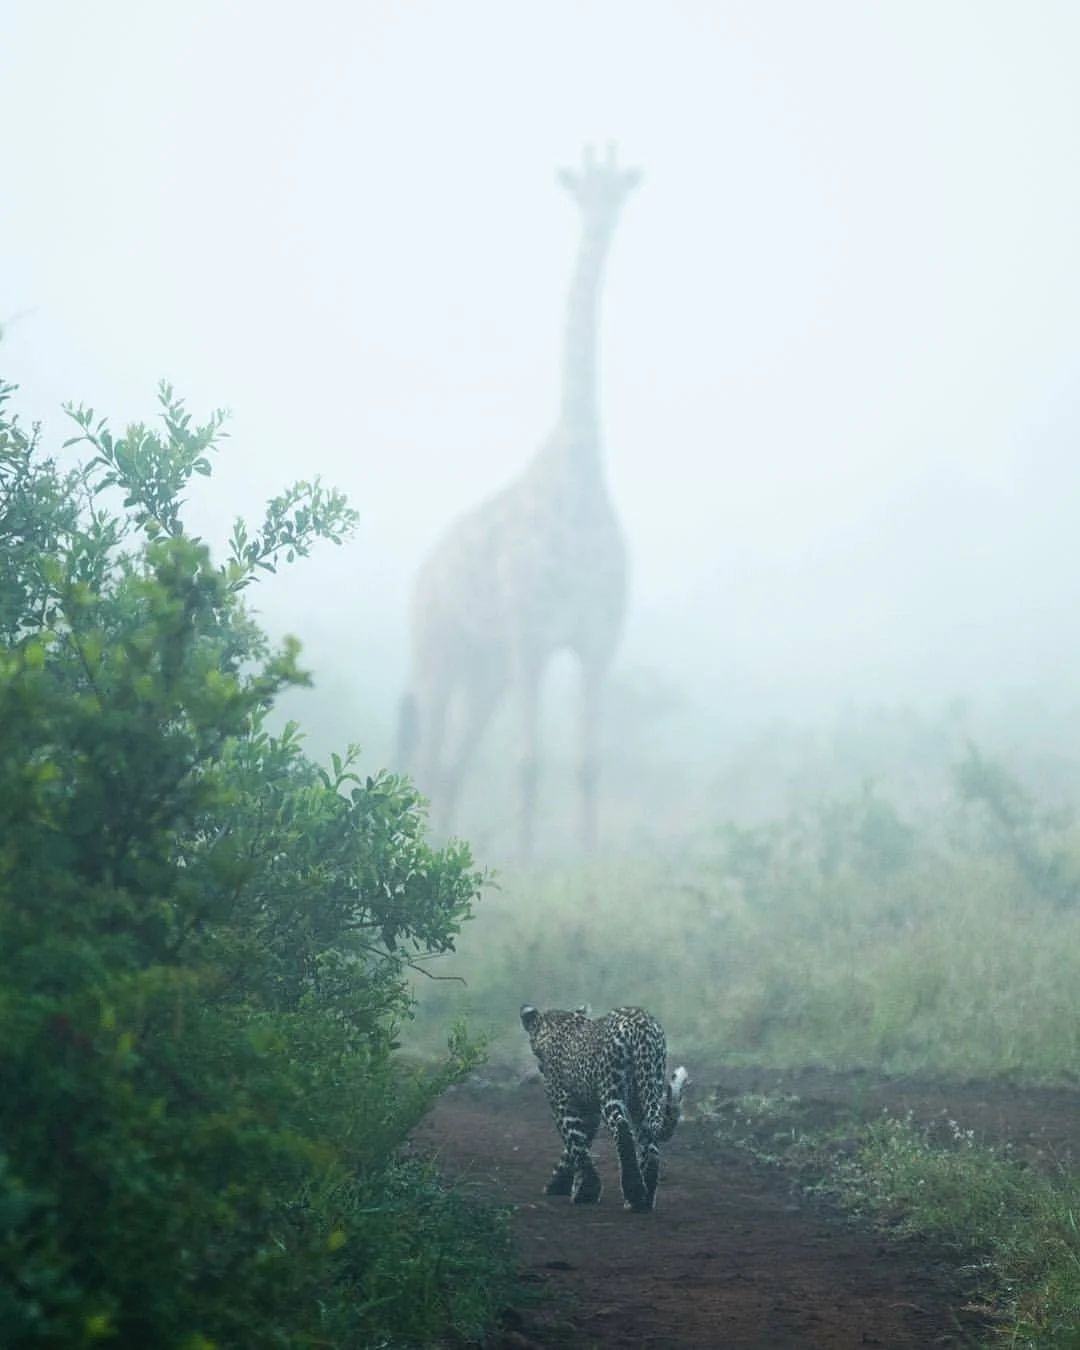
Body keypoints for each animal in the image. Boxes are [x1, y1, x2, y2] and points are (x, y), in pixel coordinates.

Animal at [399, 145, 642, 853]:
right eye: (582, 189)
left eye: (621, 189)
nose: (602, 219)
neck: (579, 479)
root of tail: (421, 577)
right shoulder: (530, 637)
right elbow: (529, 763)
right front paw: (529, 868)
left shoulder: (596, 641)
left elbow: (588, 763)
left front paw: (586, 867)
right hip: (439, 652)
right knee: (428, 760)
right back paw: (423, 856)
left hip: (487, 670)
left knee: (452, 765)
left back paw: (441, 851)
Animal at [518, 1004, 688, 1215]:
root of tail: (643, 1027)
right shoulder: (590, 1112)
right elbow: (577, 1146)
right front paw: (563, 1184)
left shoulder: (562, 1104)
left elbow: (575, 1143)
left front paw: (584, 1191)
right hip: (645, 1094)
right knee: (650, 1144)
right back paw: (644, 1200)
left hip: (611, 1092)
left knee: (622, 1129)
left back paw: (633, 1193)